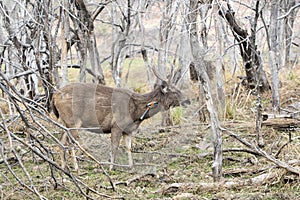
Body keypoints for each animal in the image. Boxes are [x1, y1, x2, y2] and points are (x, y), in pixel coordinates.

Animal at [52, 78, 188, 170]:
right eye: (175, 92)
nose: (188, 100)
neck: (136, 112)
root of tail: (54, 96)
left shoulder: (128, 130)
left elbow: (129, 147)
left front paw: (132, 167)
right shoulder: (116, 125)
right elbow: (114, 147)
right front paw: (111, 167)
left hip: (65, 122)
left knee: (61, 141)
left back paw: (64, 167)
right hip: (73, 120)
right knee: (71, 142)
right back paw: (77, 167)